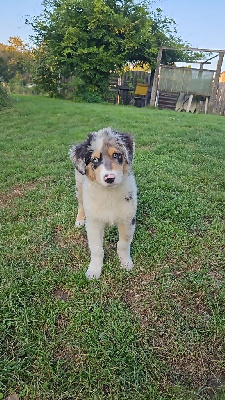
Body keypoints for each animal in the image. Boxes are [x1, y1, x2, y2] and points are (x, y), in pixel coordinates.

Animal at [70, 126, 137, 280]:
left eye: (116, 155)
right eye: (94, 159)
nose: (109, 178)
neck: (109, 193)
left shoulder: (128, 219)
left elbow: (123, 244)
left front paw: (126, 263)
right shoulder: (93, 222)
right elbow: (96, 249)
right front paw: (94, 270)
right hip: (79, 187)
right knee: (81, 204)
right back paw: (79, 220)